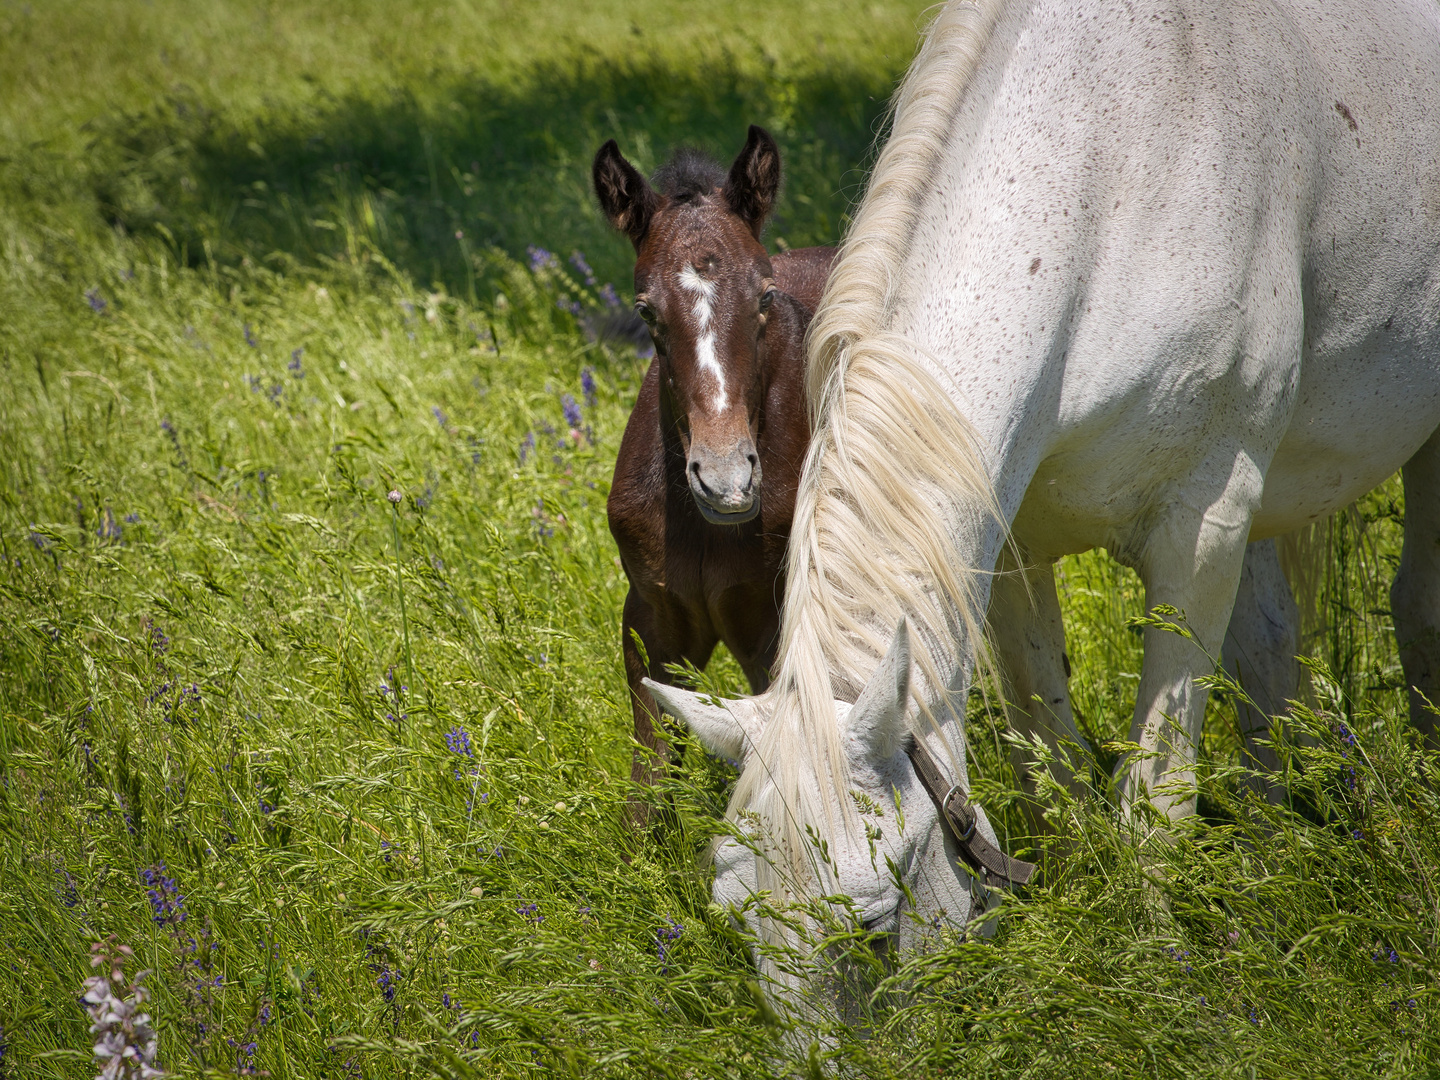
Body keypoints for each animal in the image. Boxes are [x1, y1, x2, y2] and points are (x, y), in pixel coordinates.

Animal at [593, 126, 840, 806]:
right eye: (645, 310)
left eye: (764, 295)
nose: (726, 481)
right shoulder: (653, 625)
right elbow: (649, 790)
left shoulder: (773, 632)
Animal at [648, 0, 1440, 1013]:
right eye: (735, 920)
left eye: (873, 928)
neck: (1119, 175)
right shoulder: (1013, 542)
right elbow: (1051, 768)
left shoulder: (1203, 531)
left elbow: (1157, 795)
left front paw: (1163, 973)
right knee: (1272, 654)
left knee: (1415, 610)